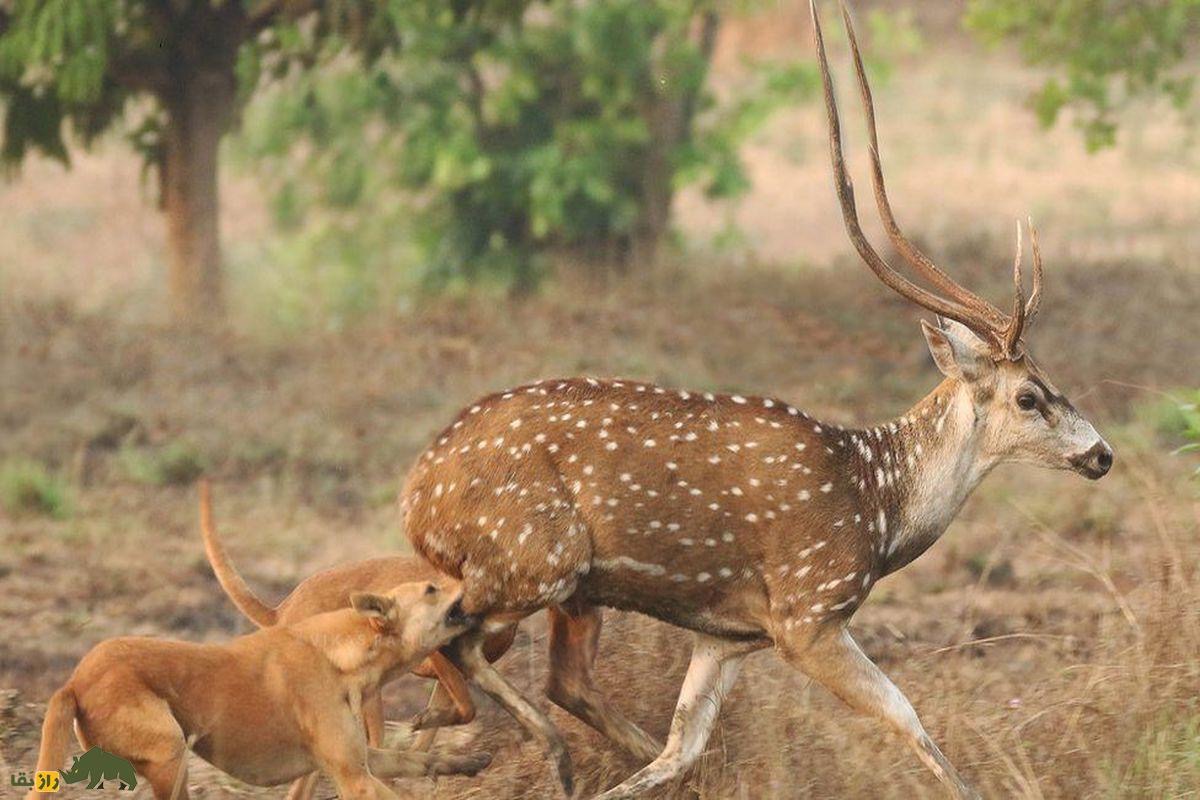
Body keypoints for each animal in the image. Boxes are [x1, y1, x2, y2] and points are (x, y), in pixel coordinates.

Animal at [25, 578, 489, 796]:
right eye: (431, 588)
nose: (470, 574)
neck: (341, 656)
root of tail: (73, 682)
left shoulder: (362, 759)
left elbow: (422, 761)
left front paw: (469, 762)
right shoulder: (353, 778)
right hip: (171, 754)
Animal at [400, 3, 1113, 796]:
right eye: (1029, 396)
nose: (1102, 454)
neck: (879, 505)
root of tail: (417, 493)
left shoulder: (730, 637)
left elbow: (680, 749)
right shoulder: (806, 612)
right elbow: (906, 715)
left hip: (568, 591)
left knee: (530, 682)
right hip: (531, 559)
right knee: (447, 652)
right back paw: (541, 753)